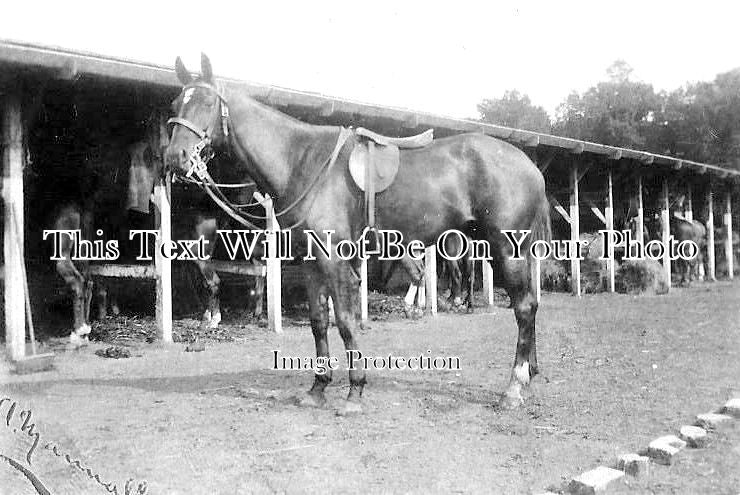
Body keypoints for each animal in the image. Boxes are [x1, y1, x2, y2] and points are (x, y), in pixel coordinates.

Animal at [165, 54, 552, 412]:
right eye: (175, 104)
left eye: (207, 103)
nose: (173, 157)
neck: (302, 161)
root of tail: (529, 166)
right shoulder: (311, 263)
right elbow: (318, 322)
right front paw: (317, 388)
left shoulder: (335, 262)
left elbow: (347, 322)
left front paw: (355, 390)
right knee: (530, 305)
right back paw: (530, 373)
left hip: (507, 249)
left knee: (523, 307)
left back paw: (513, 387)